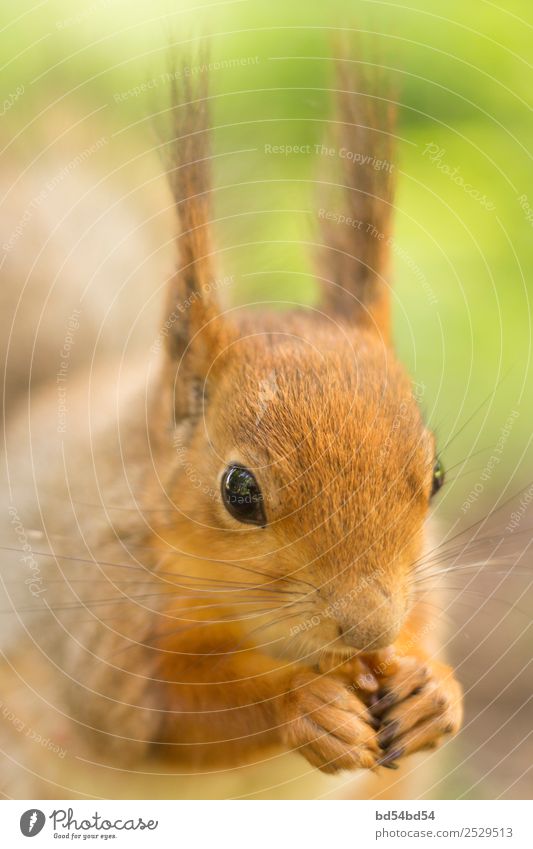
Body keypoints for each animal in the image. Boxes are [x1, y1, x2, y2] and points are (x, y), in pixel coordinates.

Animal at [0, 51, 462, 796]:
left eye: (437, 474)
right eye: (239, 492)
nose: (367, 629)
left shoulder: (424, 581)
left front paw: (434, 691)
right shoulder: (98, 605)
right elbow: (155, 718)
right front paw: (302, 703)